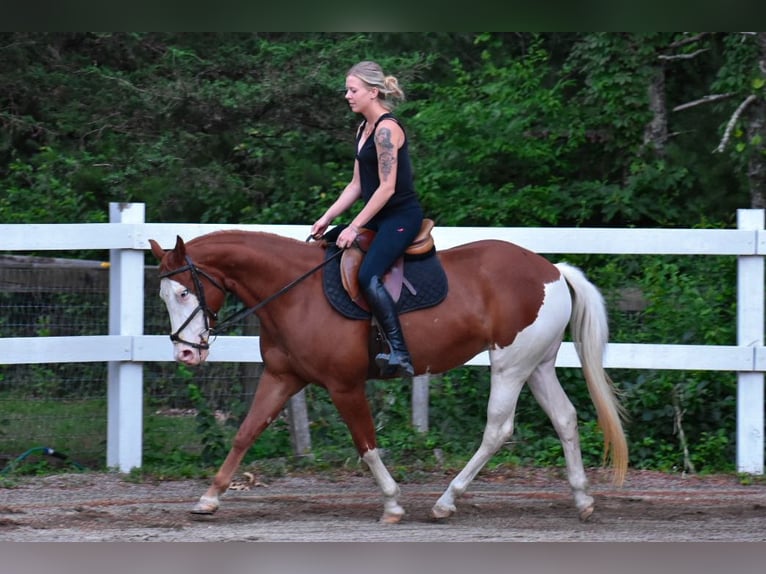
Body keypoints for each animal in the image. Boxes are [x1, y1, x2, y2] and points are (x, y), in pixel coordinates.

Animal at [150, 232, 632, 524]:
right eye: (165, 296)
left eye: (184, 291)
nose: (186, 352)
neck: (296, 292)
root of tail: (552, 270)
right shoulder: (282, 377)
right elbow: (246, 433)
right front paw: (209, 498)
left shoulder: (344, 385)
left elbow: (366, 444)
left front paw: (393, 502)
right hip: (538, 365)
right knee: (565, 418)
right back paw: (583, 499)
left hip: (510, 365)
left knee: (498, 429)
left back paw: (446, 501)